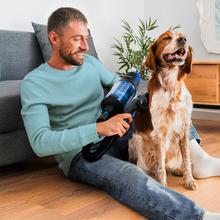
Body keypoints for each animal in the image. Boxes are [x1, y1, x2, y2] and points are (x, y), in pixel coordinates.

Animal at [128, 30, 197, 190]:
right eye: (166, 38)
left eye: (183, 35)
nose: (183, 40)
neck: (171, 86)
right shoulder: (159, 133)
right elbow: (160, 166)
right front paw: (162, 185)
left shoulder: (184, 129)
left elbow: (186, 160)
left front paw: (188, 180)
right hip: (136, 140)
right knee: (146, 167)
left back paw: (178, 170)